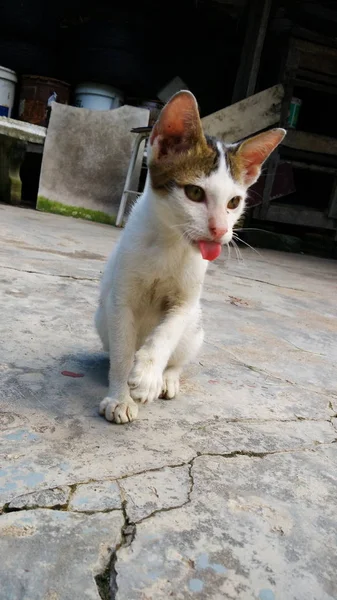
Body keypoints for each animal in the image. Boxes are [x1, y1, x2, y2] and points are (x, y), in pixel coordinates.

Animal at [96, 91, 284, 424]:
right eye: (195, 193)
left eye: (234, 202)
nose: (220, 230)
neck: (170, 242)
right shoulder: (120, 300)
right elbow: (121, 351)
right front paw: (119, 397)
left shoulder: (186, 301)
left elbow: (169, 330)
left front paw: (148, 374)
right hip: (101, 318)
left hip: (195, 327)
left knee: (181, 353)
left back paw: (167, 378)